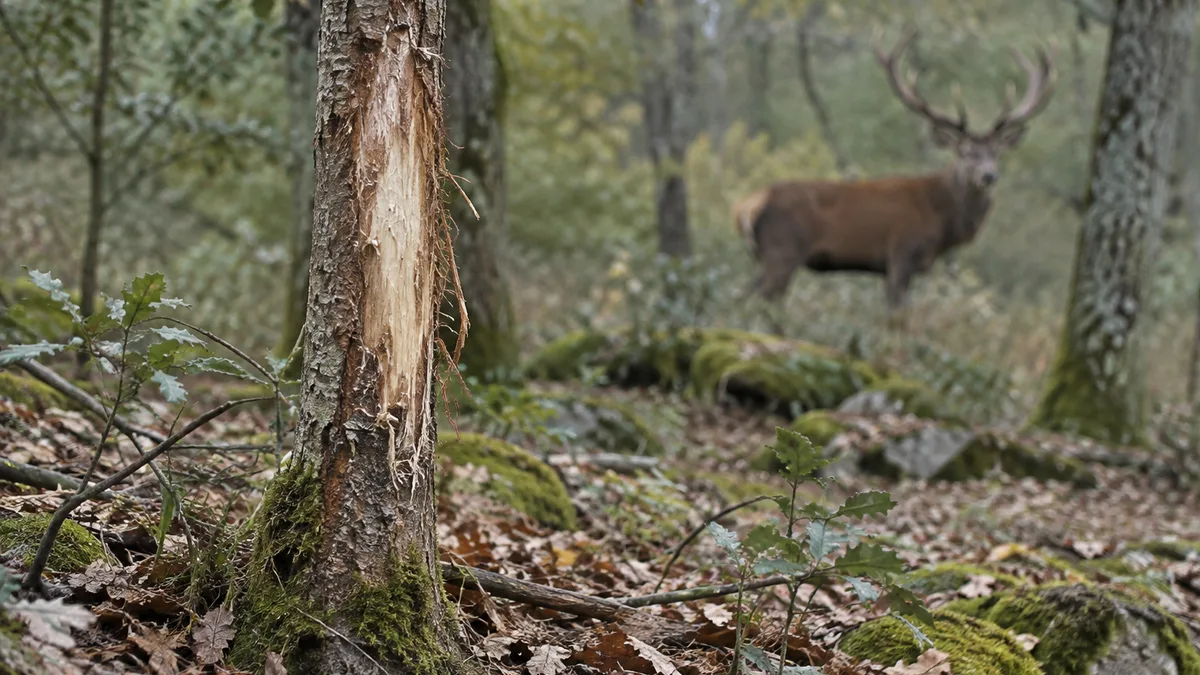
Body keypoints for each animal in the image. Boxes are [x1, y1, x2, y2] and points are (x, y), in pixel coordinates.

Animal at [734, 29, 1054, 328]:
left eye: (997, 153)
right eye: (964, 152)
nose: (989, 175)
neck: (942, 220)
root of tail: (747, 207)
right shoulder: (901, 253)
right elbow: (898, 320)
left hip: (763, 256)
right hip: (782, 251)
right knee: (757, 301)